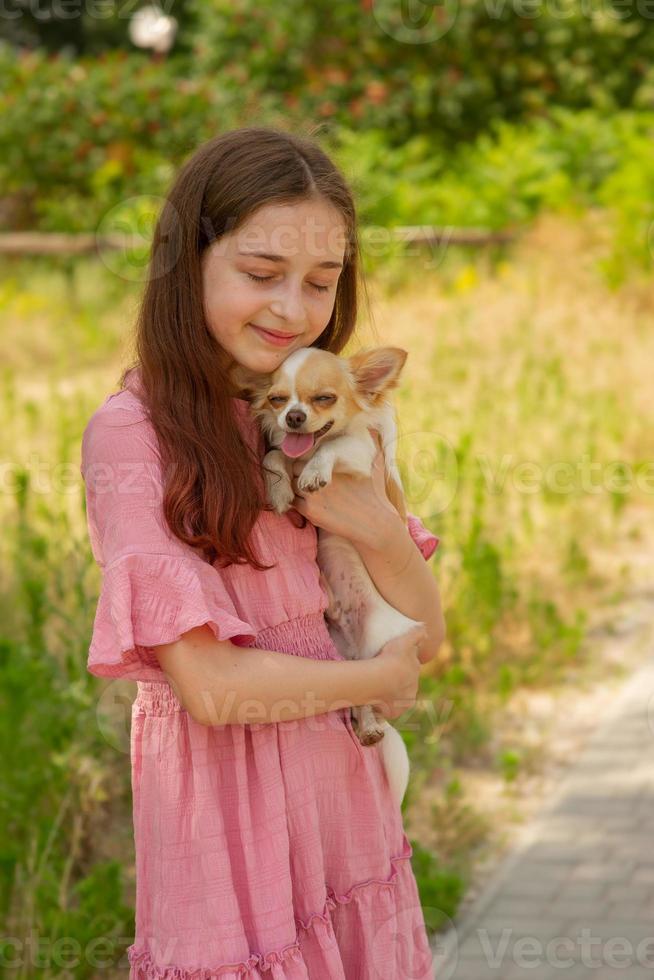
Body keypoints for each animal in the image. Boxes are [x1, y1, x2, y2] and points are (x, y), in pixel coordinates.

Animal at [233, 348, 428, 808]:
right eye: (277, 400)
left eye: (323, 398)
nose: (294, 417)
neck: (308, 448)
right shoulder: (283, 449)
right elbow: (273, 456)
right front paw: (280, 490)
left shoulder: (358, 453)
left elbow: (336, 446)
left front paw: (313, 472)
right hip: (343, 657)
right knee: (355, 690)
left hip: (380, 644)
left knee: (370, 696)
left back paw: (371, 728)